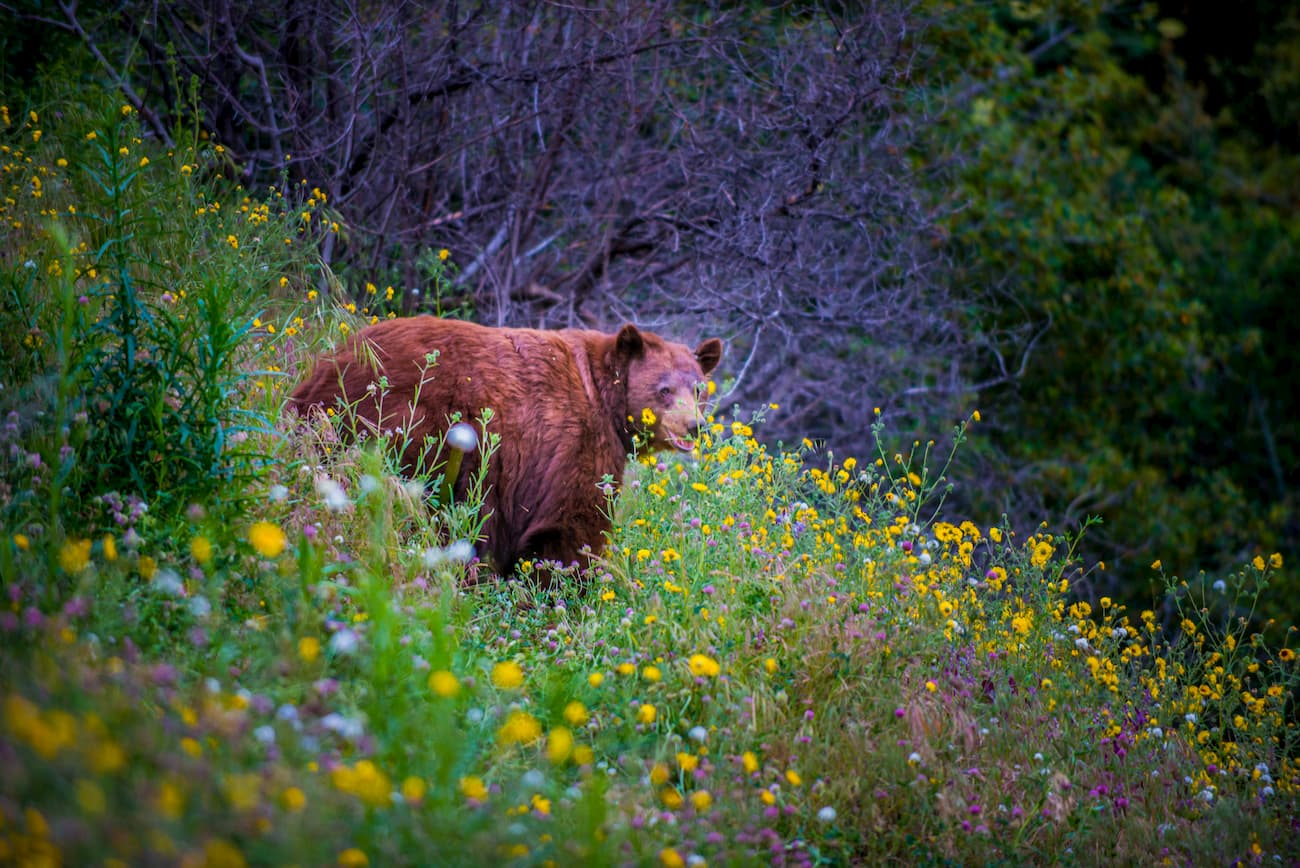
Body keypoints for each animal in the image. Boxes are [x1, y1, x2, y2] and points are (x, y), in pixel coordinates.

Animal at [288, 316, 722, 579]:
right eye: (664, 389)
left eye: (698, 388)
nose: (694, 425)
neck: (604, 398)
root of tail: (324, 371)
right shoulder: (573, 441)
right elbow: (572, 523)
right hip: (410, 428)